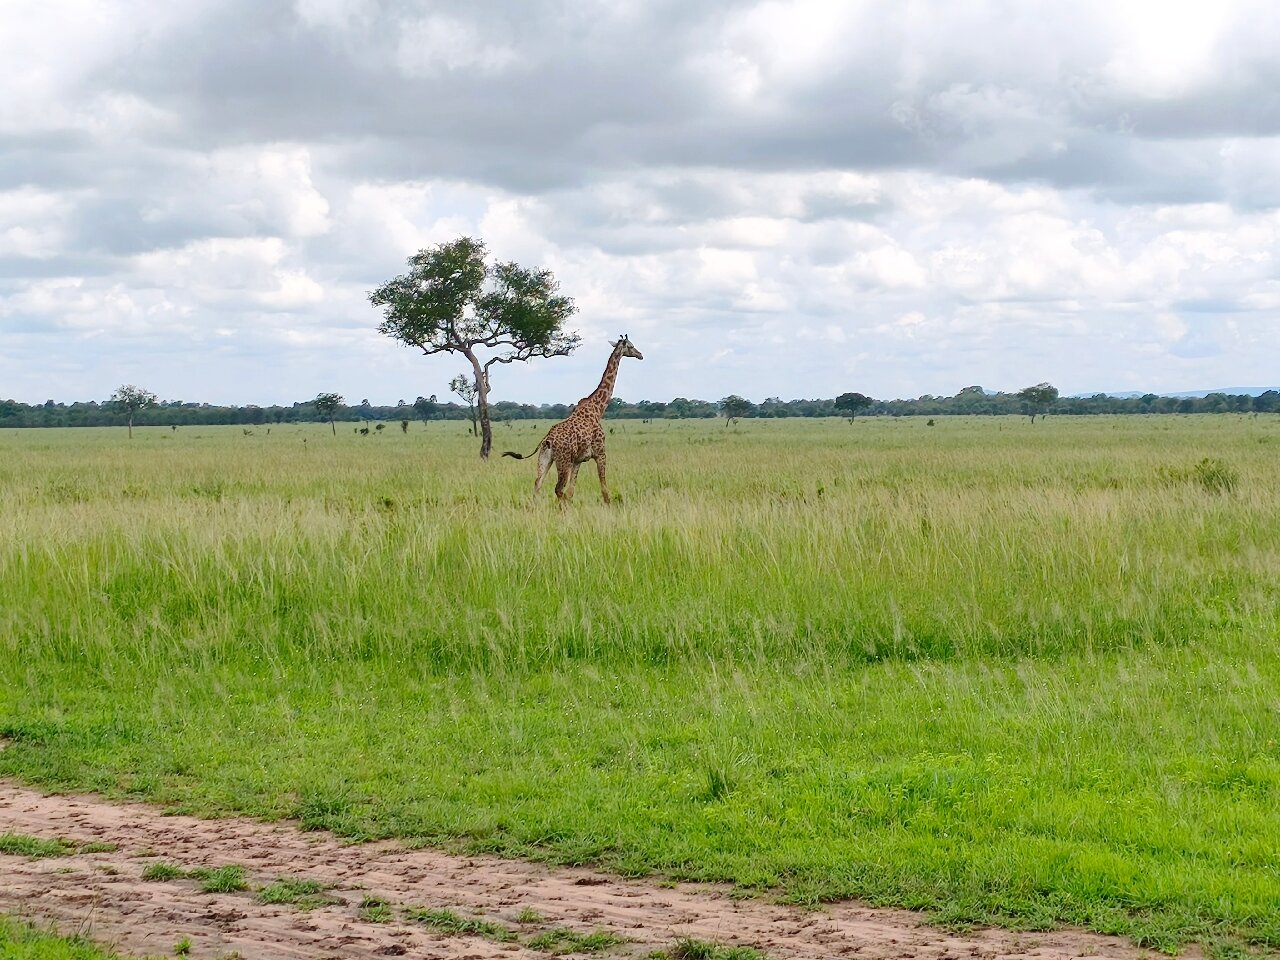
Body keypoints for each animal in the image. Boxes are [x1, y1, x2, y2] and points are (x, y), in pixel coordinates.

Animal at [502, 335, 644, 503]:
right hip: (564, 461)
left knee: (538, 484)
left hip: (546, 459)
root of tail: (547, 439)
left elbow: (572, 491)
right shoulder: (600, 453)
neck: (598, 409)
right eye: (631, 346)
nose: (641, 355)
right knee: (557, 489)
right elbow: (604, 488)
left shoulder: (578, 460)